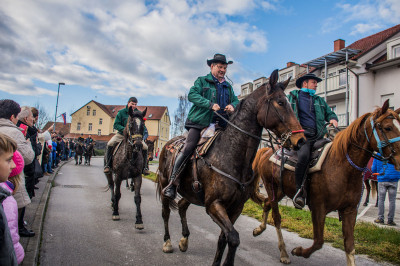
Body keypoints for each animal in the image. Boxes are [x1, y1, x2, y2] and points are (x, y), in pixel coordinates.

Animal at [156, 70, 306, 266]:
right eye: (280, 102)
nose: (301, 140)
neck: (232, 156)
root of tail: (169, 144)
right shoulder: (214, 205)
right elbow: (234, 238)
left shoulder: (236, 207)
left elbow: (224, 239)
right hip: (166, 183)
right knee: (166, 213)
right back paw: (167, 242)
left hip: (190, 192)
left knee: (181, 206)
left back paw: (184, 240)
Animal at [252, 100, 398, 266]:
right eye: (387, 127)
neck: (341, 165)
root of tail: (267, 151)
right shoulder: (318, 208)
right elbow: (318, 242)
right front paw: (298, 251)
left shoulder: (349, 211)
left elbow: (349, 246)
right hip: (271, 187)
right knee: (276, 217)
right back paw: (283, 252)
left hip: (281, 190)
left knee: (267, 204)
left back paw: (259, 229)